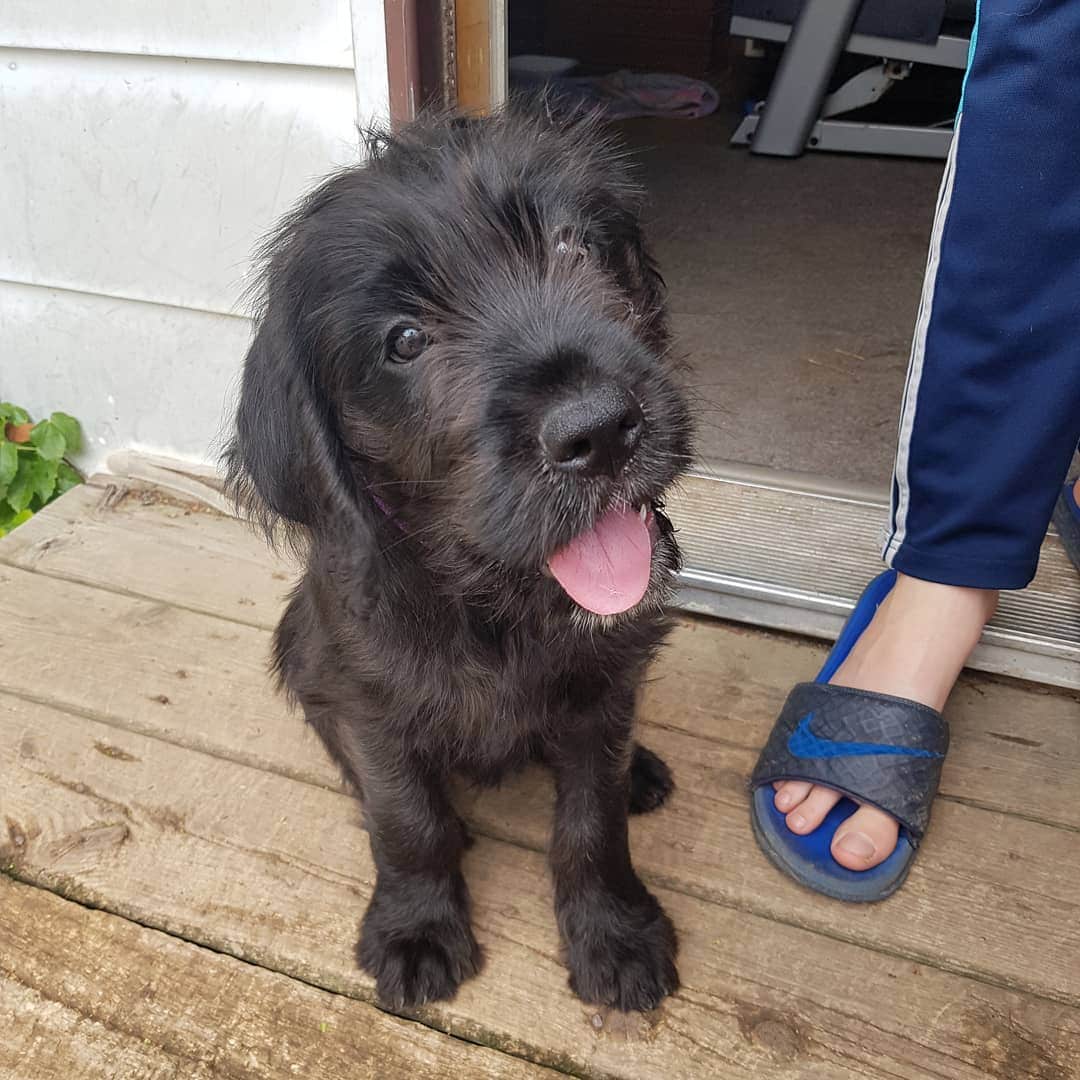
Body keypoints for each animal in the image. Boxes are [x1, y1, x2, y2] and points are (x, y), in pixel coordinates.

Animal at [226, 109, 695, 1010]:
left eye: (574, 245)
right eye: (404, 341)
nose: (599, 430)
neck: (493, 604)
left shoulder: (603, 685)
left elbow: (591, 820)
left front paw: (614, 931)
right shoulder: (370, 705)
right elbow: (409, 822)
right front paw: (416, 926)